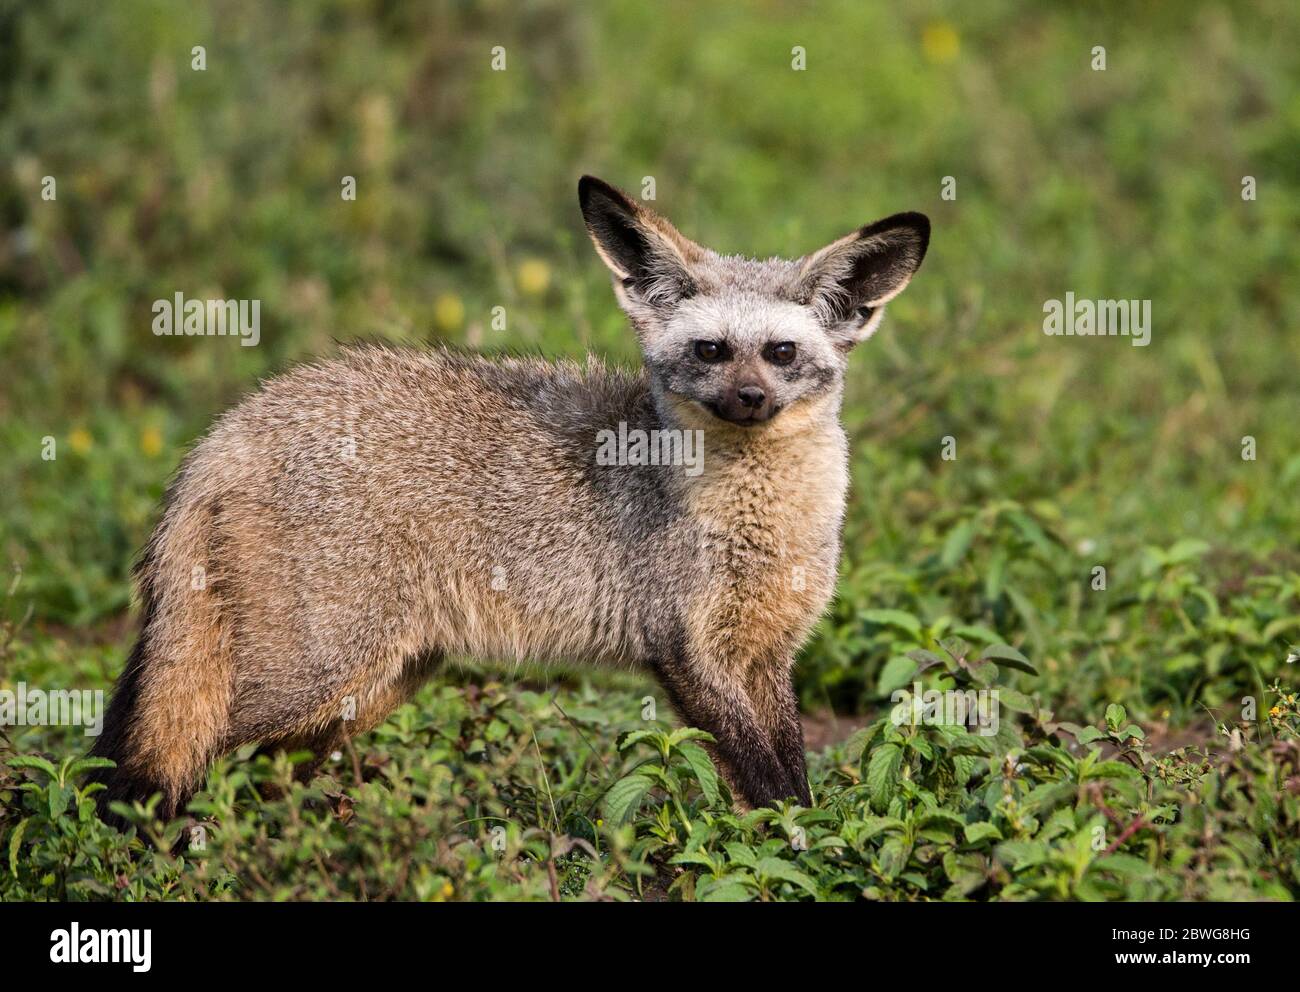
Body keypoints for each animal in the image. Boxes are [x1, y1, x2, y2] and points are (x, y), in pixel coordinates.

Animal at [91, 176, 929, 822]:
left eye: (781, 352)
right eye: (711, 350)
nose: (750, 400)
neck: (760, 521)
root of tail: (225, 432)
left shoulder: (768, 652)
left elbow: (789, 772)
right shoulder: (686, 650)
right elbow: (768, 786)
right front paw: (798, 850)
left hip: (371, 687)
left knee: (239, 769)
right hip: (314, 676)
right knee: (170, 761)